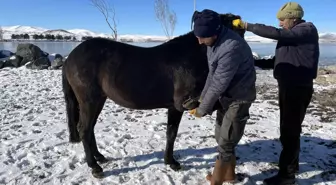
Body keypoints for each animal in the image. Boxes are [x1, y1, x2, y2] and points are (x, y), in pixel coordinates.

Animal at [61, 13, 262, 178]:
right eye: (233, 31)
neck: (187, 58)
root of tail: (71, 57)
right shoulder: (180, 105)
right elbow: (173, 133)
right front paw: (172, 163)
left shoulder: (176, 106)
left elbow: (170, 133)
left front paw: (169, 161)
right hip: (89, 100)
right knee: (84, 129)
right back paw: (95, 167)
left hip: (98, 100)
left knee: (90, 129)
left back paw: (100, 157)